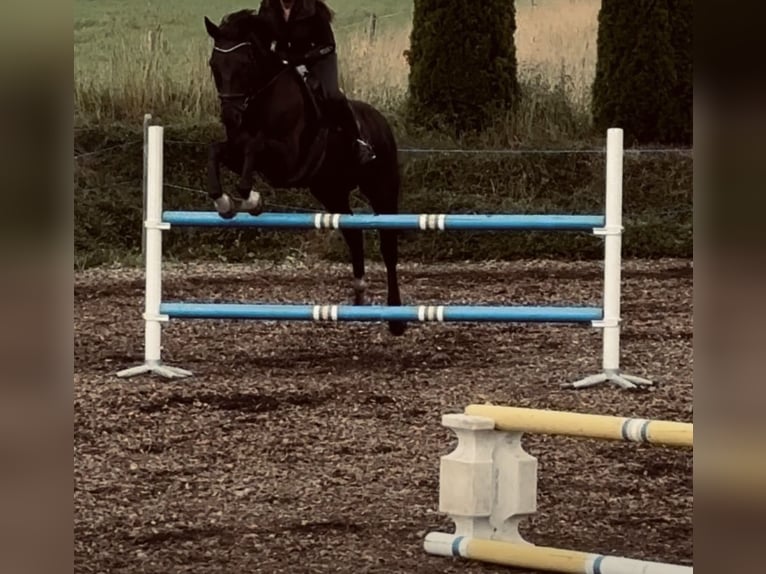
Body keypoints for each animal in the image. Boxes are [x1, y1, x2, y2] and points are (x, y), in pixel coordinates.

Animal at [203, 10, 406, 336]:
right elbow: (217, 151)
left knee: (388, 247)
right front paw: (224, 201)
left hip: (382, 189)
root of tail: (381, 120)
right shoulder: (236, 150)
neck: (262, 99)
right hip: (331, 191)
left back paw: (397, 319)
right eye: (214, 65)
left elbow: (255, 146)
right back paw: (359, 295)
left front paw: (250, 199)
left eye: (245, 64)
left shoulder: (286, 159)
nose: (230, 117)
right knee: (353, 232)